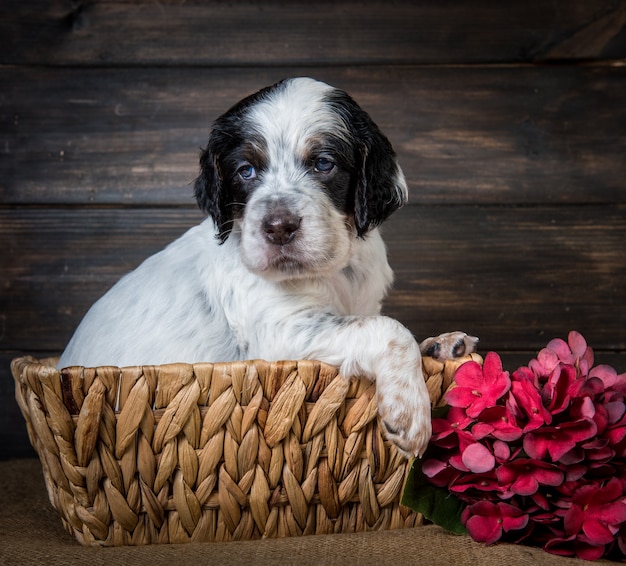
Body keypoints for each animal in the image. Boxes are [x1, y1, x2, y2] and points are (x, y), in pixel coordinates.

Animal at [59, 76, 478, 458]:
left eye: (323, 164)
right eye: (245, 171)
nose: (278, 227)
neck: (333, 269)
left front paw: (441, 344)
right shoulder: (281, 332)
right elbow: (387, 328)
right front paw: (409, 414)